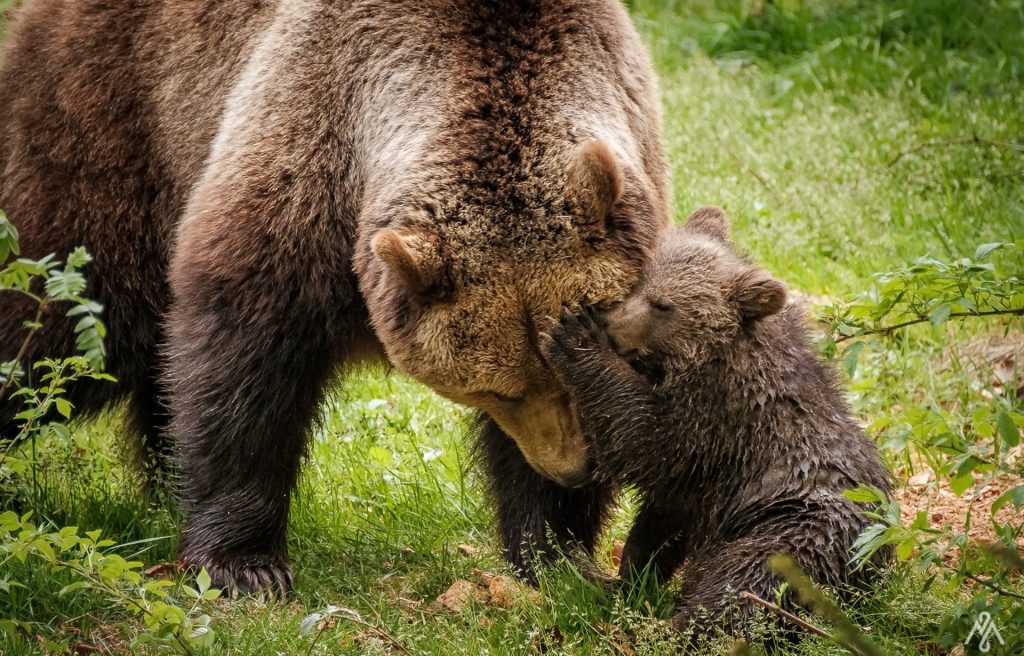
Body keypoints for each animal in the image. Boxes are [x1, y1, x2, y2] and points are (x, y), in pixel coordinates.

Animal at [0, 1, 667, 593]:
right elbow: (246, 368)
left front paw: (561, 557)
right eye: (494, 389)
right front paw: (246, 566)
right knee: (54, 315)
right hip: (112, 132)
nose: (574, 468)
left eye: (565, 372)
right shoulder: (304, 153)